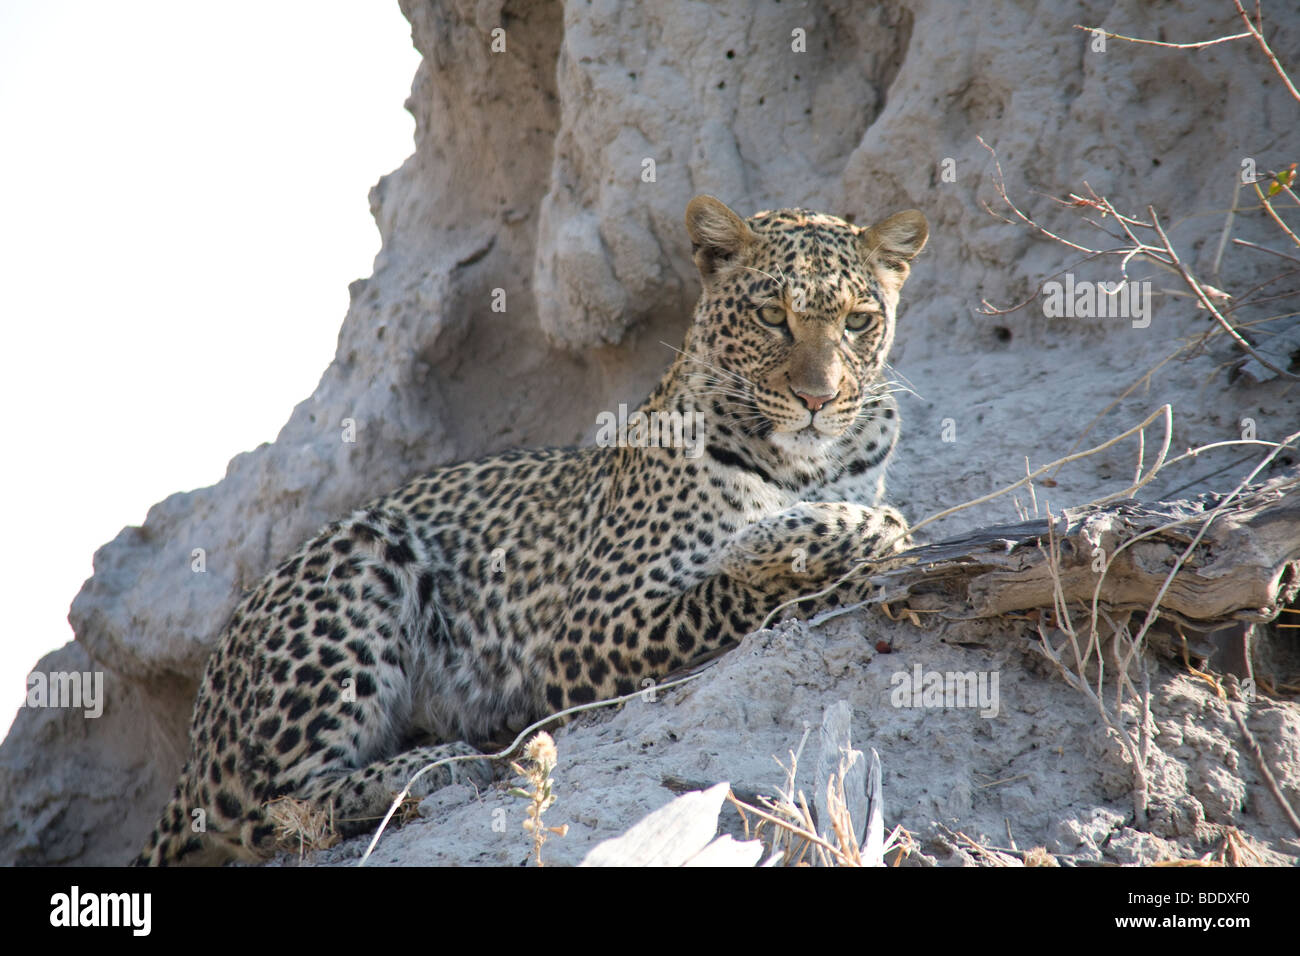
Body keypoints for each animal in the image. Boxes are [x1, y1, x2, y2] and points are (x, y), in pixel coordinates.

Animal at [134, 195, 925, 868]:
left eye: (858, 321)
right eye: (770, 315)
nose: (818, 398)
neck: (806, 464)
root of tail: (196, 742)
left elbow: (862, 534)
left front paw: (813, 534)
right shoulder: (593, 625)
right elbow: (749, 583)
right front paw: (796, 540)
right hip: (361, 555)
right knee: (268, 811)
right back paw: (434, 764)